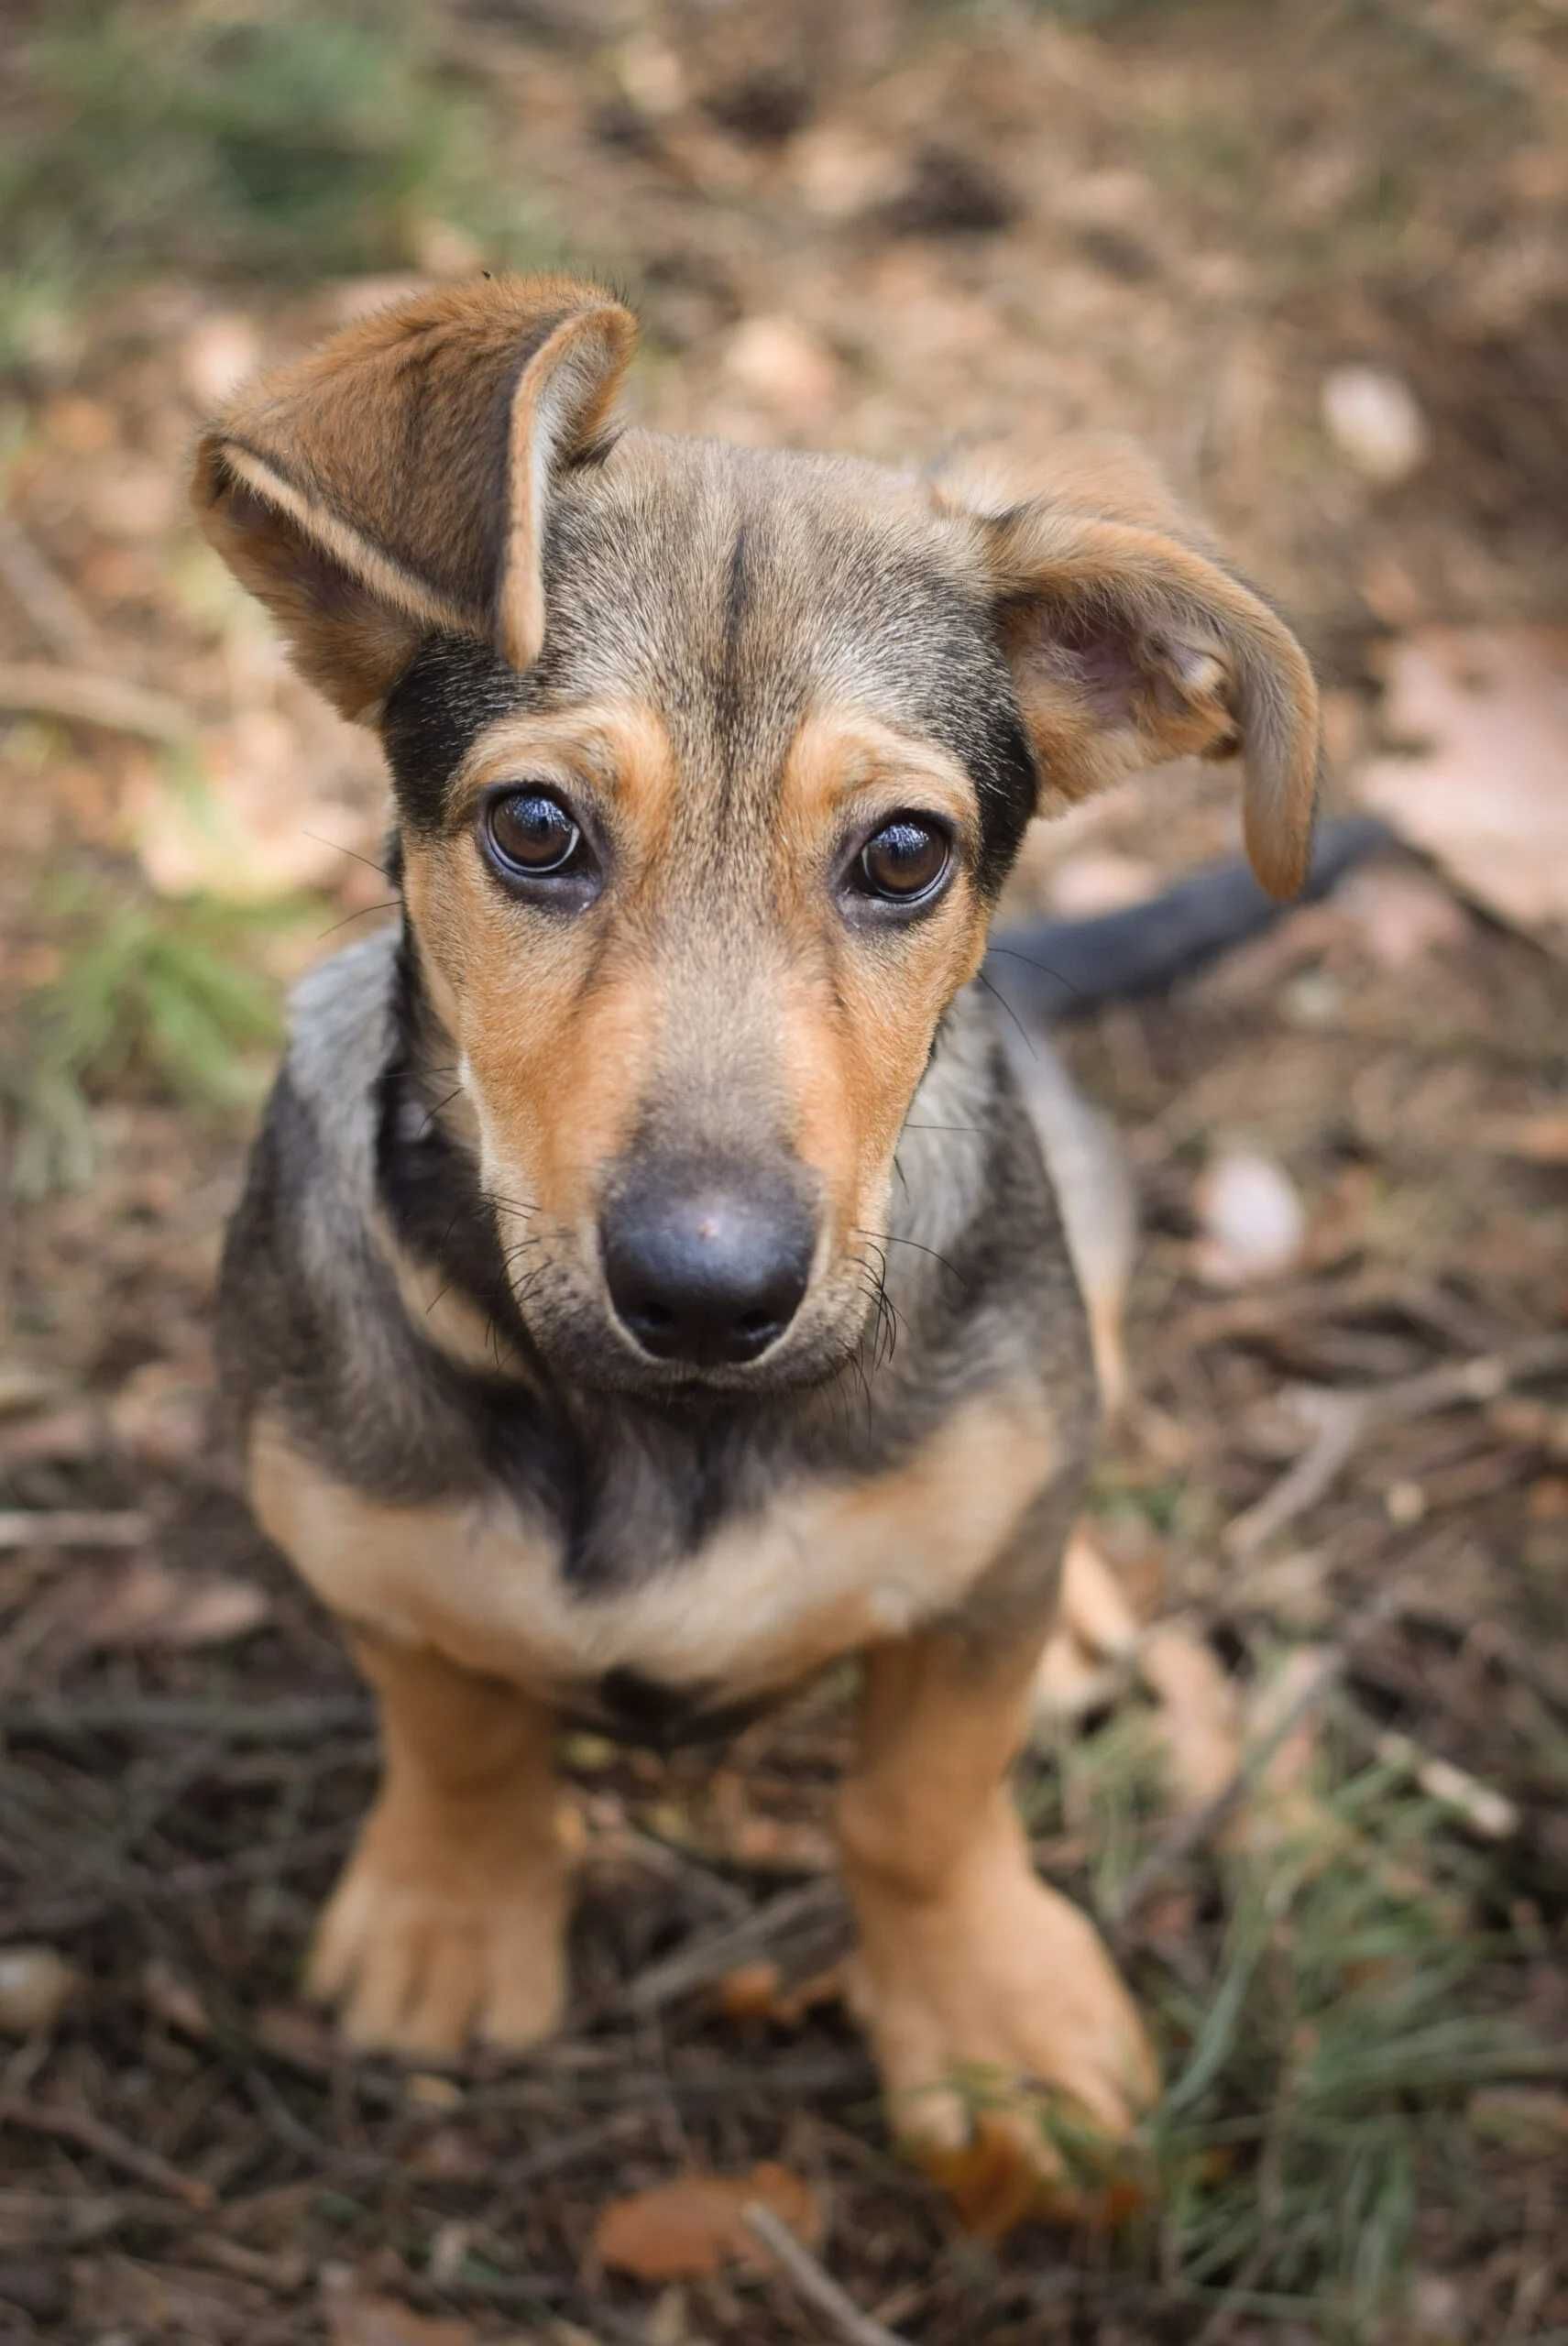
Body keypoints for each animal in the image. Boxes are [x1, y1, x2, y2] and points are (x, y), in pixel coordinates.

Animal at [192, 274, 1323, 2196]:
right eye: (536, 827)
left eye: (904, 854)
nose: (709, 1295)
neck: (657, 1426)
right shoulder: (356, 1540)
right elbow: (460, 1728)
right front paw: (452, 1913)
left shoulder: (956, 1633)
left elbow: (918, 1808)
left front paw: (986, 2020)